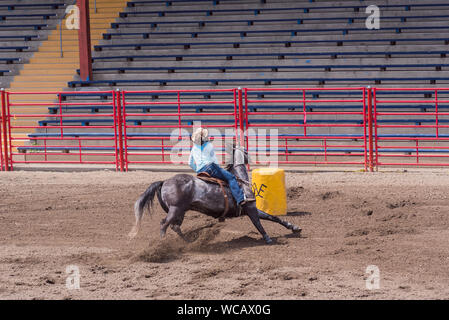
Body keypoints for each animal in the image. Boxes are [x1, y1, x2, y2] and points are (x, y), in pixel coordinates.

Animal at [128, 146, 300, 244]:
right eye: (245, 151)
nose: (252, 157)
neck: (240, 181)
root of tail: (164, 181)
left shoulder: (250, 208)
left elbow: (273, 217)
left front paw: (294, 227)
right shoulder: (250, 208)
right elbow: (258, 223)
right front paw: (268, 238)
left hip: (180, 211)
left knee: (175, 227)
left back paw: (188, 243)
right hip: (175, 209)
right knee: (164, 224)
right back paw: (162, 244)